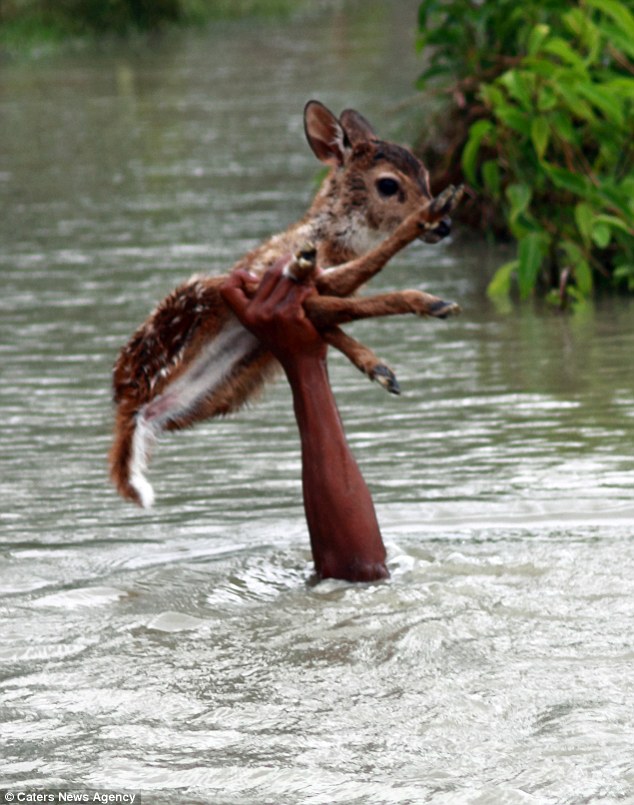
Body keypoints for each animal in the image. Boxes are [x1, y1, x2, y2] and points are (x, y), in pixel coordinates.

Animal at [110, 100, 464, 509]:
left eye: (425, 173)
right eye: (388, 184)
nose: (445, 226)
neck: (329, 241)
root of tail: (131, 405)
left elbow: (339, 313)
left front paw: (380, 368)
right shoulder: (269, 276)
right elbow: (349, 293)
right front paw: (428, 294)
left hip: (230, 386)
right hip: (198, 296)